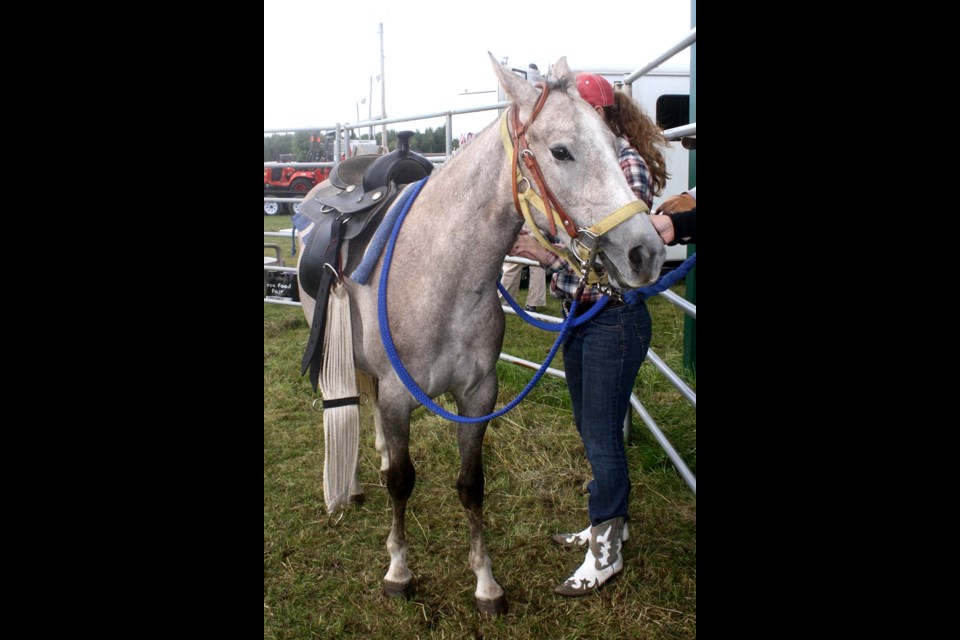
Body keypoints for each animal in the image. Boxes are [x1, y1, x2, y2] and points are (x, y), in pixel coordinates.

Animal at [300, 53, 668, 616]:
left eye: (614, 145)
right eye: (561, 151)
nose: (645, 252)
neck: (440, 274)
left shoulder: (478, 395)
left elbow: (471, 485)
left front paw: (485, 582)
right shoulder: (400, 394)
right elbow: (403, 483)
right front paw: (399, 570)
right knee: (349, 406)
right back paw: (356, 483)